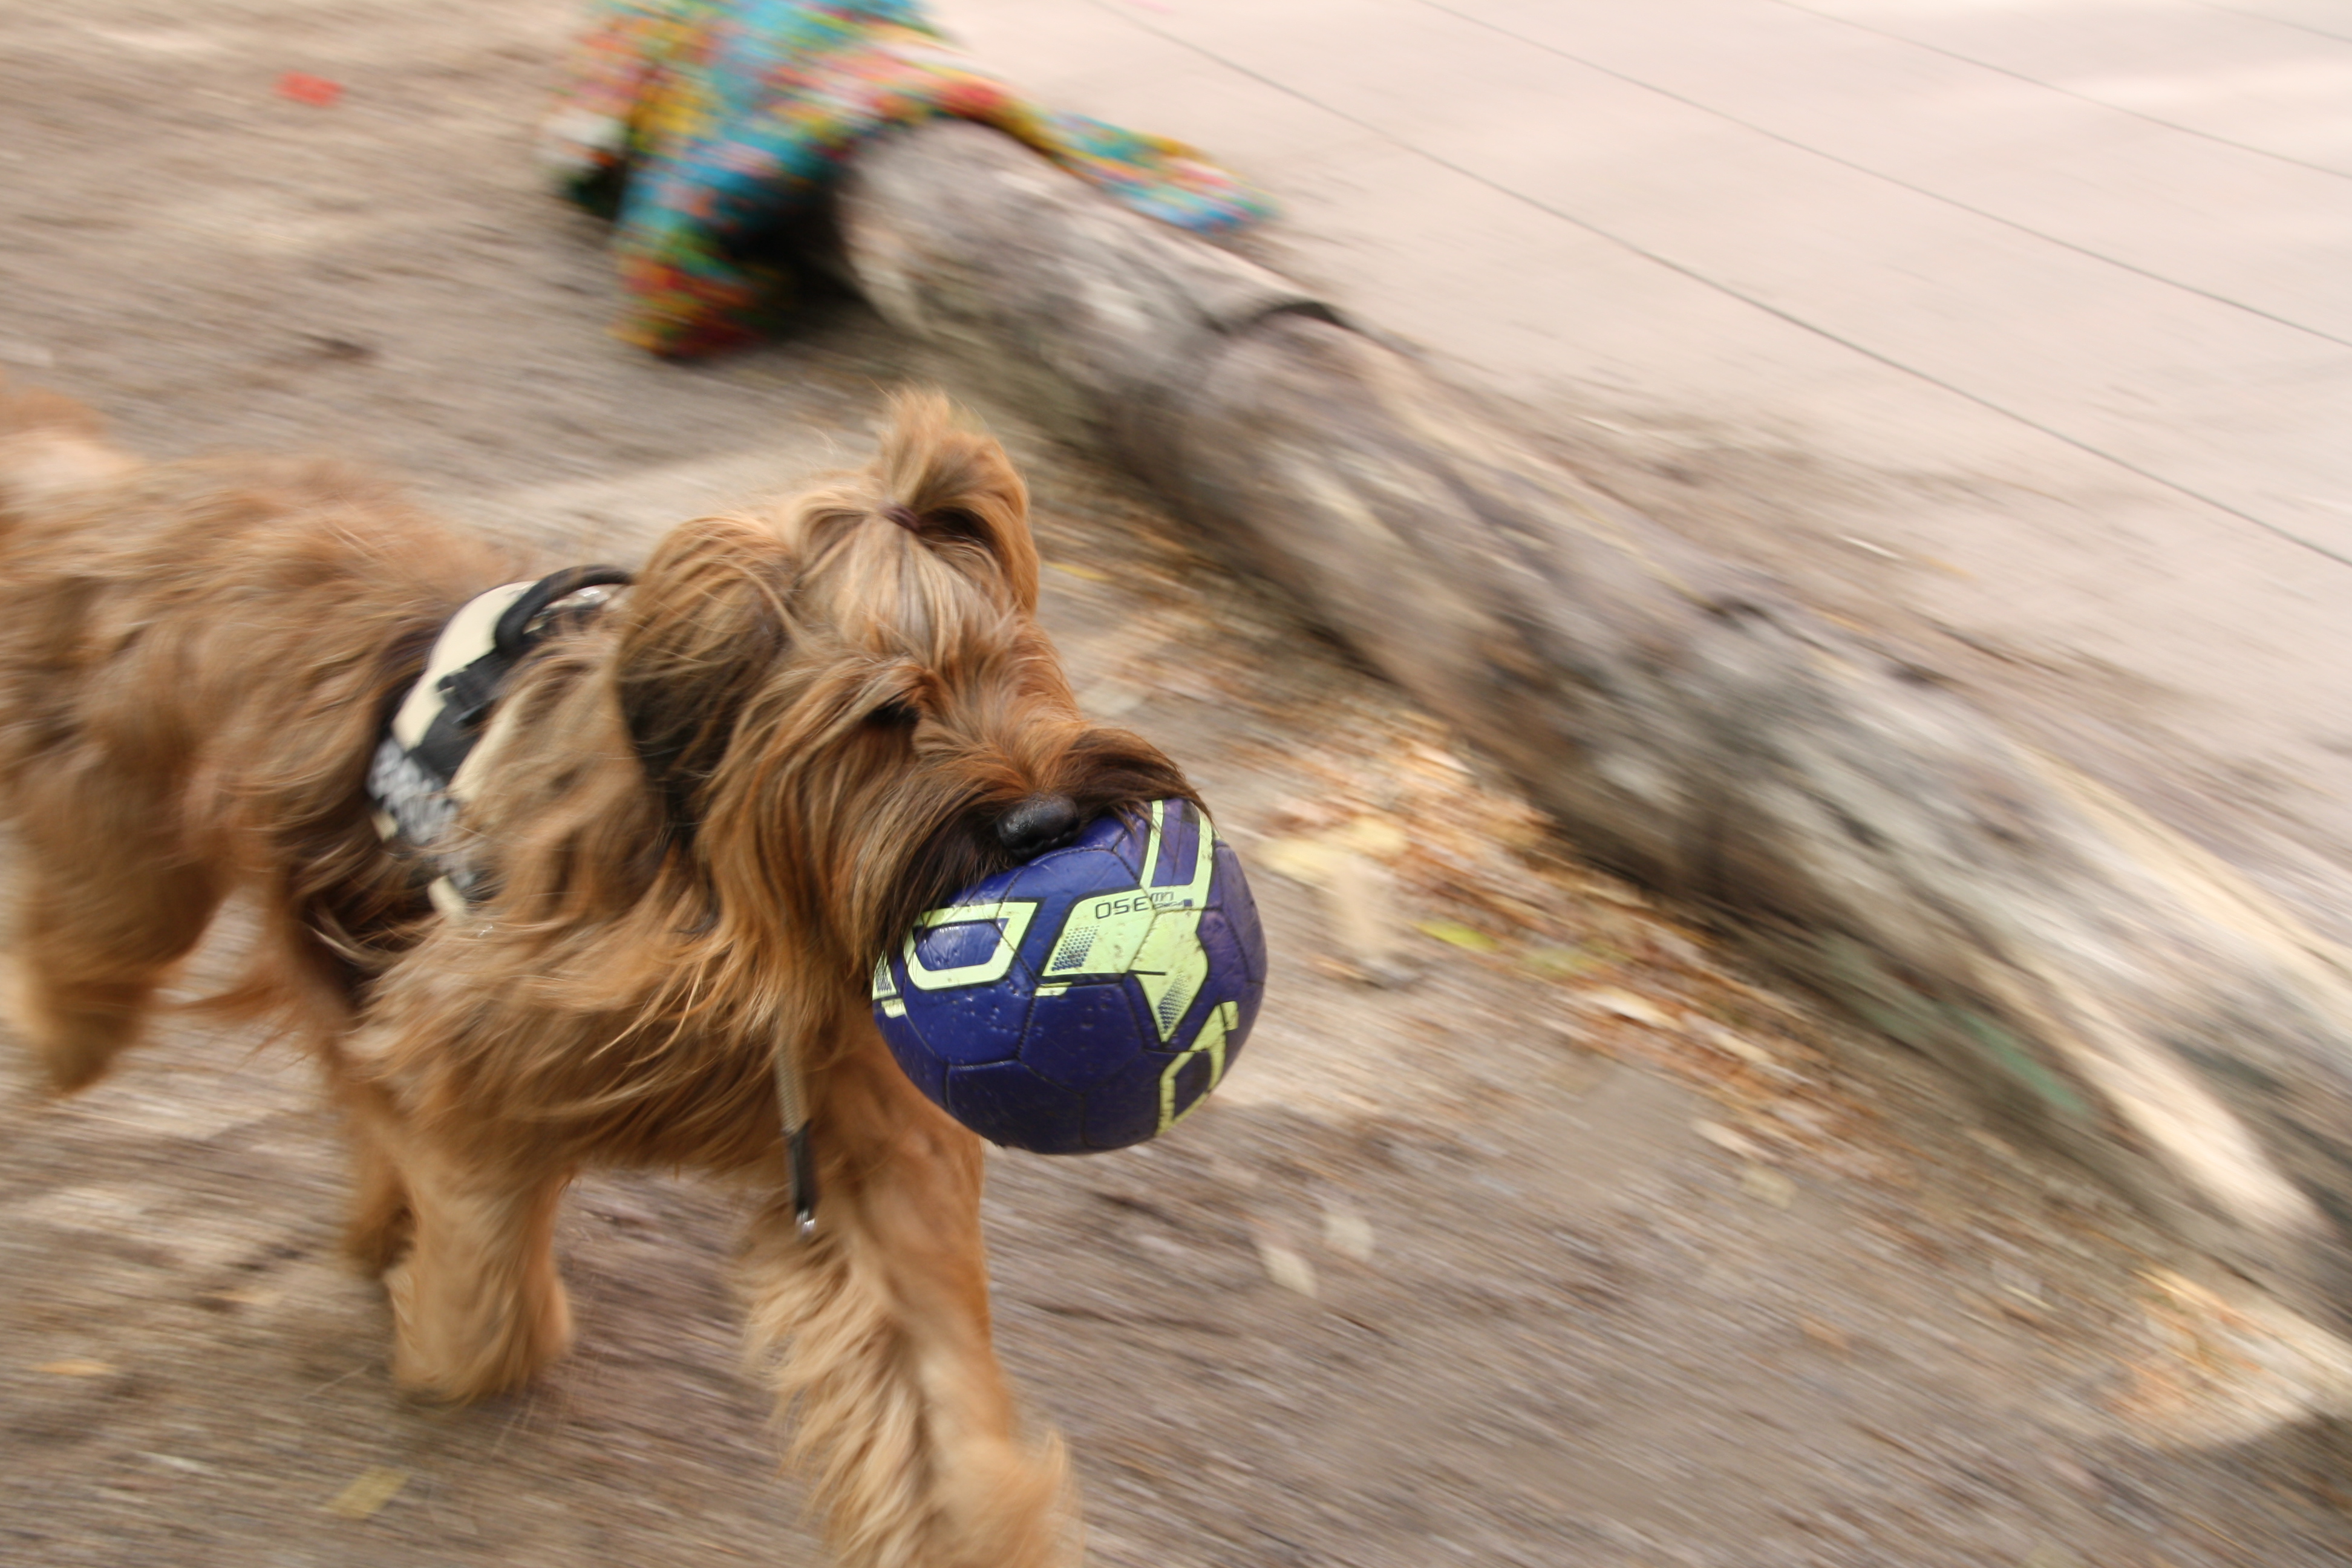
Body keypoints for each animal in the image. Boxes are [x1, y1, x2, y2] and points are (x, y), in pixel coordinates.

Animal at [0, 383, 1185, 1568]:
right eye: (887, 714)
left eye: (1013, 665)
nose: (1046, 823)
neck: (738, 912)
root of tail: (137, 501)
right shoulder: (468, 1060)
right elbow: (488, 1307)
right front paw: (438, 1326)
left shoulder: (862, 1140)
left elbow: (938, 1405)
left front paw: (971, 1524)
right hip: (135, 844)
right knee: (91, 935)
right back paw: (66, 1034)